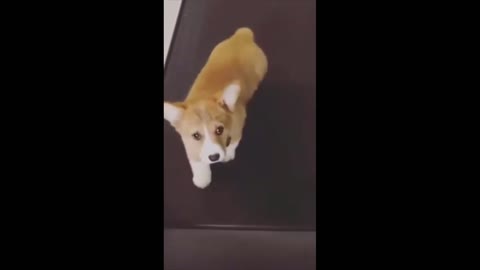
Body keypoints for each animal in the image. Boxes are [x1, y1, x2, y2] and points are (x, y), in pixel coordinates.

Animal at [163, 26, 268, 188]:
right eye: (196, 135)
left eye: (220, 130)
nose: (214, 157)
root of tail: (243, 36)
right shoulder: (190, 145)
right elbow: (197, 161)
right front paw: (202, 178)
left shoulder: (238, 128)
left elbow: (233, 143)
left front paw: (228, 154)